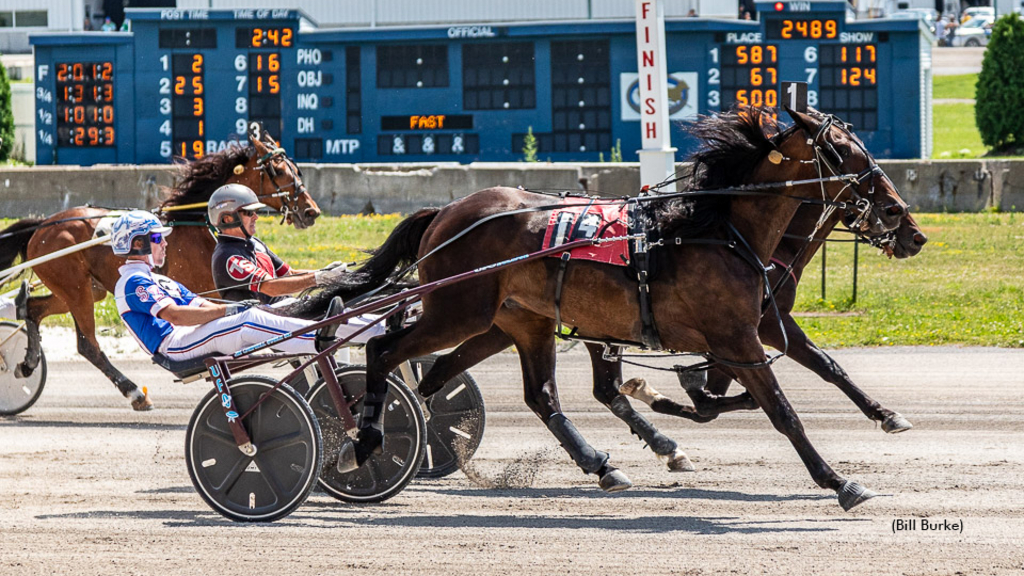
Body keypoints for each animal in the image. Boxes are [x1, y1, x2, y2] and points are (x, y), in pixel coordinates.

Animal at [0, 122, 317, 407]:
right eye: (279, 170)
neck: (198, 228)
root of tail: (44, 225)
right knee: (87, 343)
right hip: (75, 288)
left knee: (32, 307)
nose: (311, 211)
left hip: (87, 289)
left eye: (295, 168)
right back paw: (134, 393)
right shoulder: (213, 293)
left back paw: (27, 362)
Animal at [292, 106, 909, 506]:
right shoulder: (737, 336)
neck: (715, 231)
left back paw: (595, 464)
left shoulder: (751, 330)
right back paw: (363, 441)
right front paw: (839, 482)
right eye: (842, 151)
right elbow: (779, 409)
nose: (902, 217)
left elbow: (811, 371)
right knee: (383, 349)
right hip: (456, 308)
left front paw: (885, 417)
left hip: (518, 320)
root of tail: (446, 212)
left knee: (508, 389)